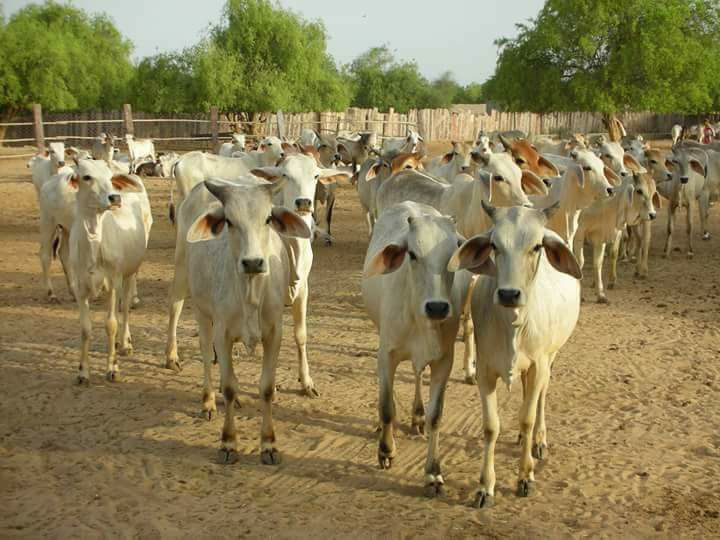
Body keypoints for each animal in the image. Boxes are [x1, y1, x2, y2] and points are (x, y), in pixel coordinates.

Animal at [70, 160, 153, 384]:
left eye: (109, 177)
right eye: (86, 177)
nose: (115, 198)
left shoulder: (112, 283)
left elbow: (111, 324)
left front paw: (113, 368)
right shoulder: (79, 288)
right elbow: (85, 329)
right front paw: (83, 372)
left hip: (130, 272)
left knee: (125, 308)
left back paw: (124, 344)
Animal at [360, 202, 466, 498]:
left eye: (453, 253)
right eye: (412, 254)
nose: (437, 307)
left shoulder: (444, 360)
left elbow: (436, 416)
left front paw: (433, 473)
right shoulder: (386, 355)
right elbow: (387, 407)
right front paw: (386, 451)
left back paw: (417, 416)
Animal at [452, 201, 584, 506]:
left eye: (536, 246)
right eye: (494, 245)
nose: (509, 294)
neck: (513, 322)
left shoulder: (539, 365)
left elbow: (527, 418)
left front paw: (525, 477)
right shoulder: (485, 371)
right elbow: (491, 426)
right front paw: (485, 486)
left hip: (550, 358)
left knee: (540, 398)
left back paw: (538, 440)